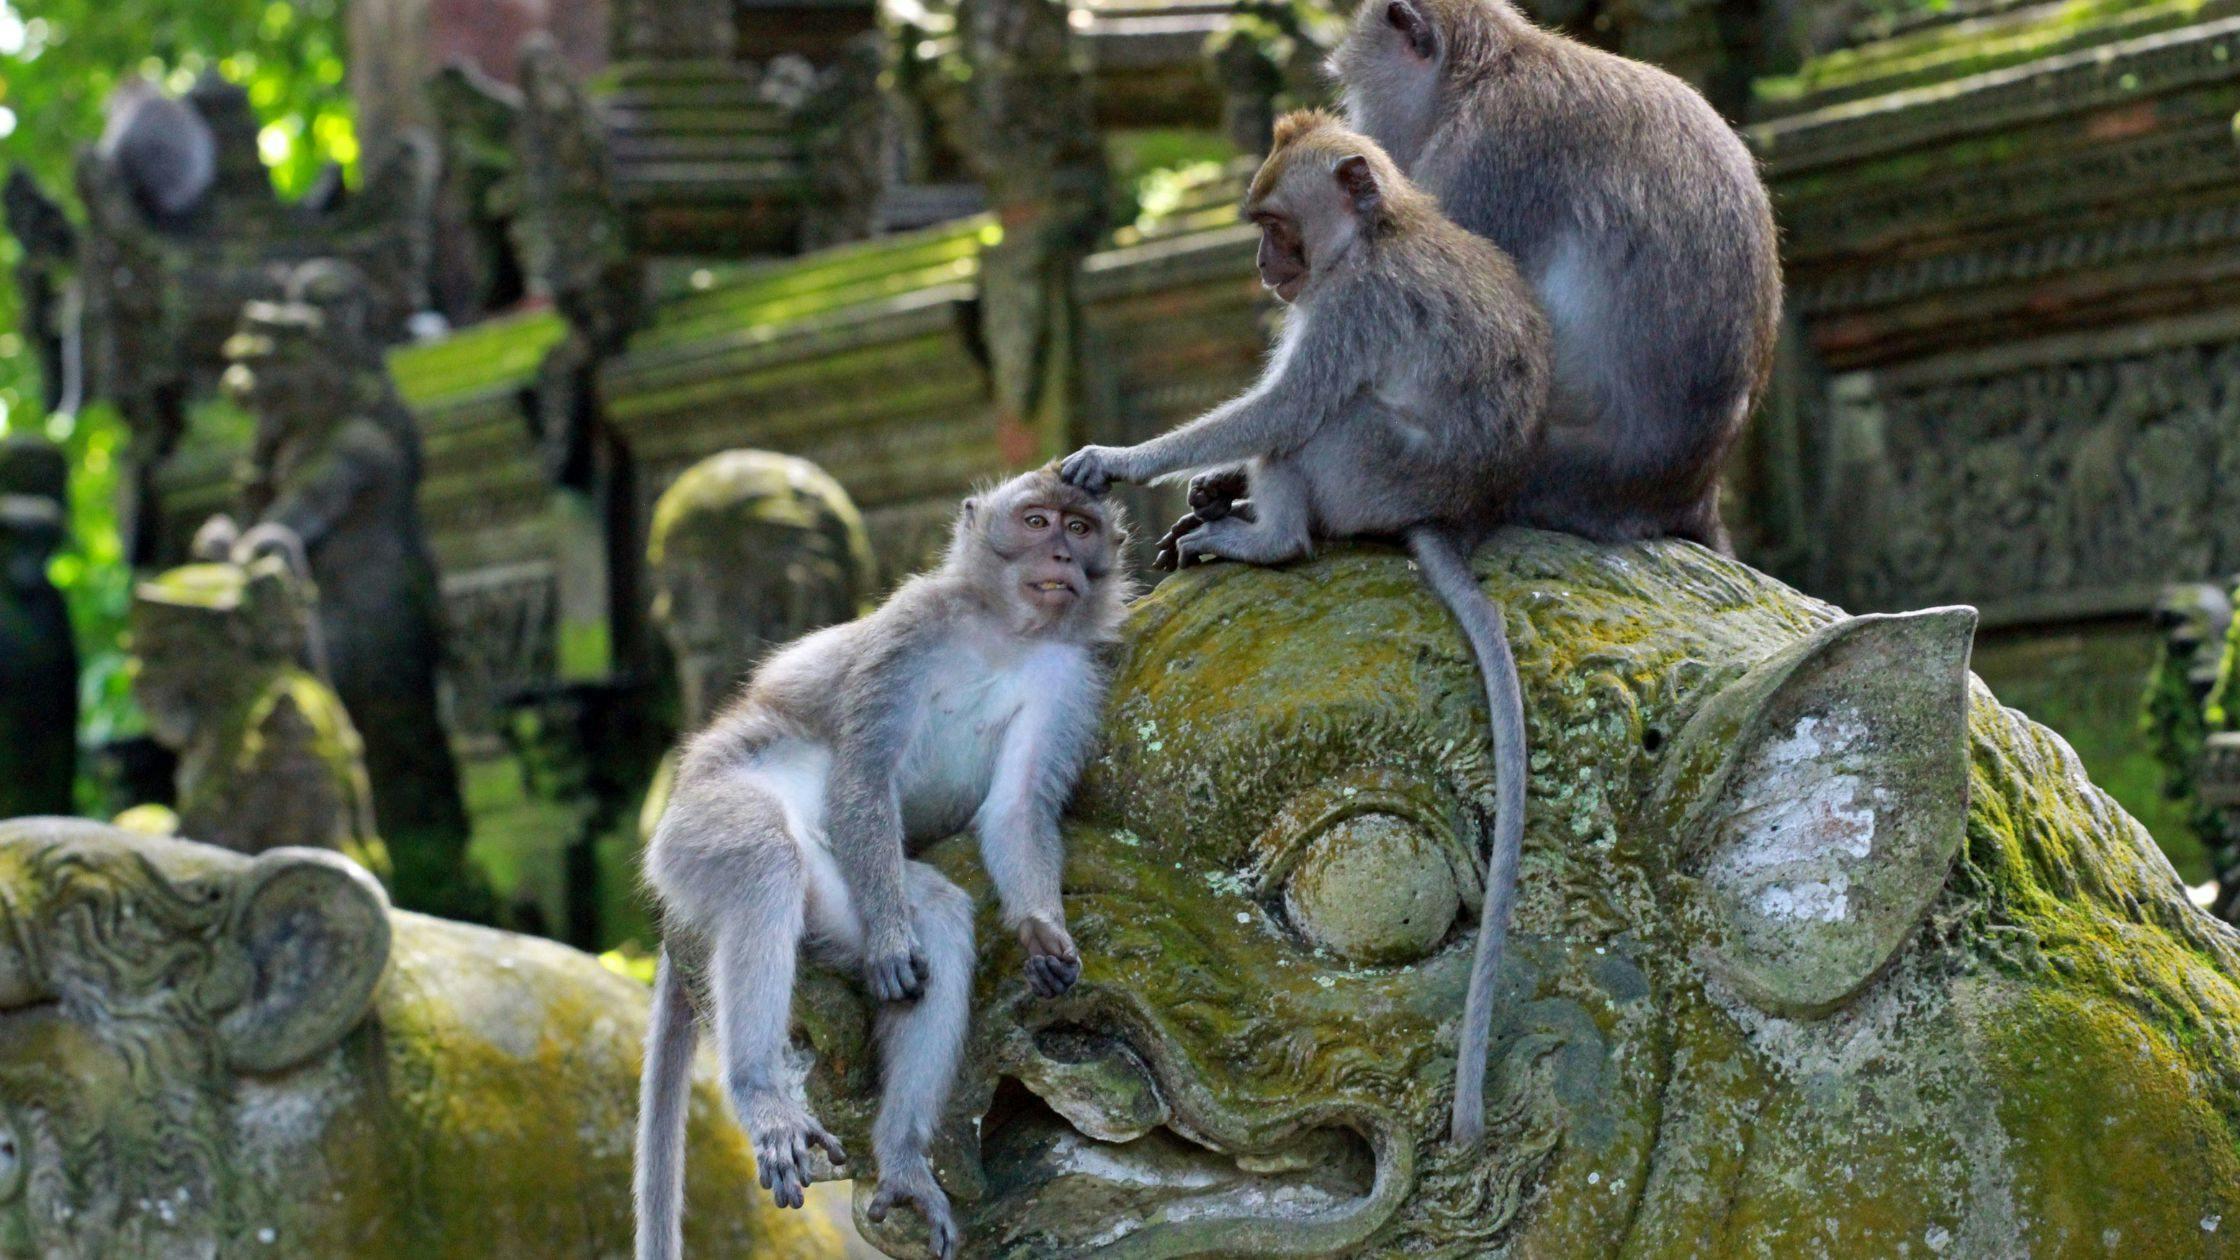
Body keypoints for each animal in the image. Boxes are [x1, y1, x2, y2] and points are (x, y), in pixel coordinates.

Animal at [634, 467, 1131, 1260]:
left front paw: (1042, 932)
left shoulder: (1071, 677)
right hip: (698, 828)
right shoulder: (913, 629)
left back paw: (901, 1158)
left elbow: (1017, 809)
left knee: (940, 917)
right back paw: (761, 1093)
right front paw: (900, 944)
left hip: (844, 882)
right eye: (1036, 520)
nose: (1060, 555)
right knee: (765, 861)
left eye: (1080, 528)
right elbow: (865, 772)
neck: (1004, 634)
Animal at [1058, 109, 1548, 1147]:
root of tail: (1450, 514)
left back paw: (1268, 537)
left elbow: (1283, 407)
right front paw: (1205, 482)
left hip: (1369, 470)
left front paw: (1123, 460)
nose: (1261, 263)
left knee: (1315, 423)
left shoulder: (1350, 307)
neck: (1377, 235)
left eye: (1277, 223)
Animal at [1330, 0, 1782, 552]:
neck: (1485, 74)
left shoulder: (1486, 156)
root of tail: (1693, 493)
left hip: (1550, 472)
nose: (1360, 130)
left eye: (1354, 88)